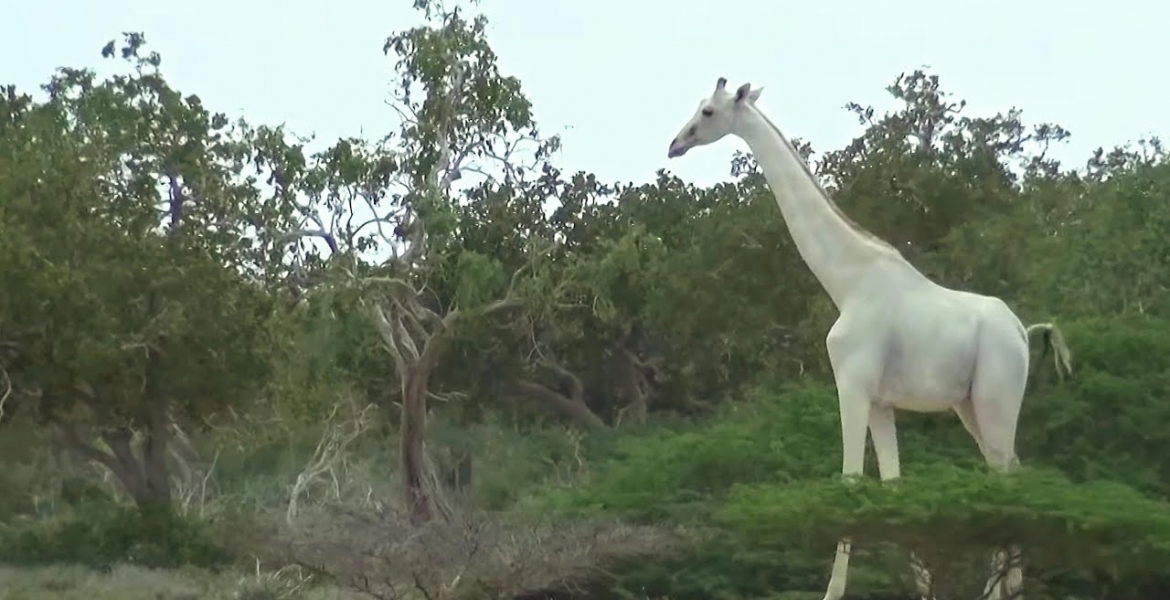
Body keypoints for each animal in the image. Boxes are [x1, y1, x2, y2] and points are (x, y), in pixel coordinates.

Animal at [666, 77, 1072, 600]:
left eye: (709, 112)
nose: (676, 144)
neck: (847, 282)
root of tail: (1023, 331)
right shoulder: (881, 401)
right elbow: (893, 485)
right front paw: (923, 590)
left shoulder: (852, 385)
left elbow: (851, 481)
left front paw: (832, 592)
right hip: (970, 406)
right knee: (1008, 473)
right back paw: (1005, 587)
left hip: (996, 397)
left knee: (1005, 475)